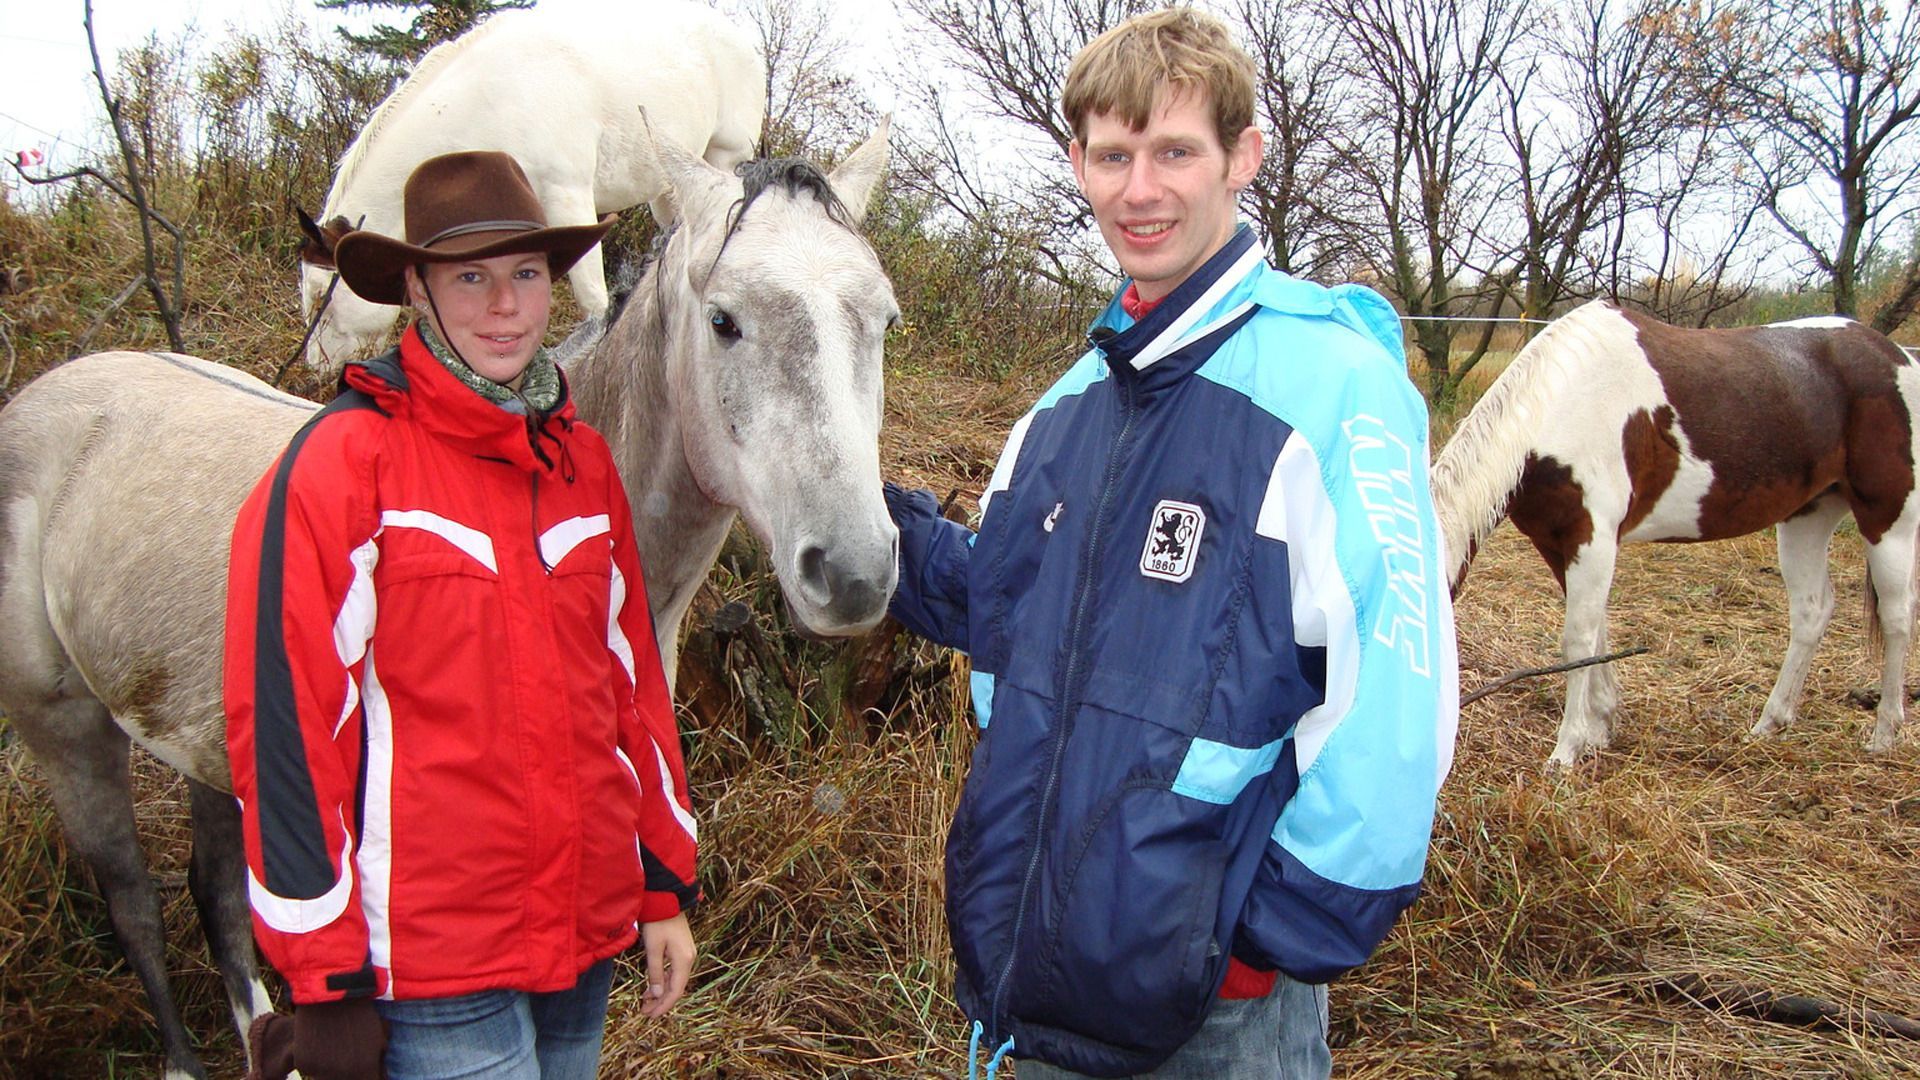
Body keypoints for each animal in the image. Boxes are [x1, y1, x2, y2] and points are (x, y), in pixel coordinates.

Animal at [0, 123, 894, 1076]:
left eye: (883, 320)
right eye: (724, 320)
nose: (854, 571)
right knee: (131, 897)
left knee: (220, 899)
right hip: (67, 731)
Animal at [295, 2, 760, 367]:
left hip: (725, 157)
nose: (318, 369)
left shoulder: (569, 197)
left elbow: (595, 301)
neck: (489, 99)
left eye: (320, 296)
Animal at [1443, 297, 1920, 760]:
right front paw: (1600, 727)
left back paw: (1883, 734)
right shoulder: (1556, 543)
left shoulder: (1592, 540)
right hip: (1808, 516)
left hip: (1889, 518)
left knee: (1897, 615)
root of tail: (1896, 354)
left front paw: (1566, 750)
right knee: (1811, 610)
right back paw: (1770, 723)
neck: (1561, 411)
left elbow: (1578, 639)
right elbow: (1597, 633)